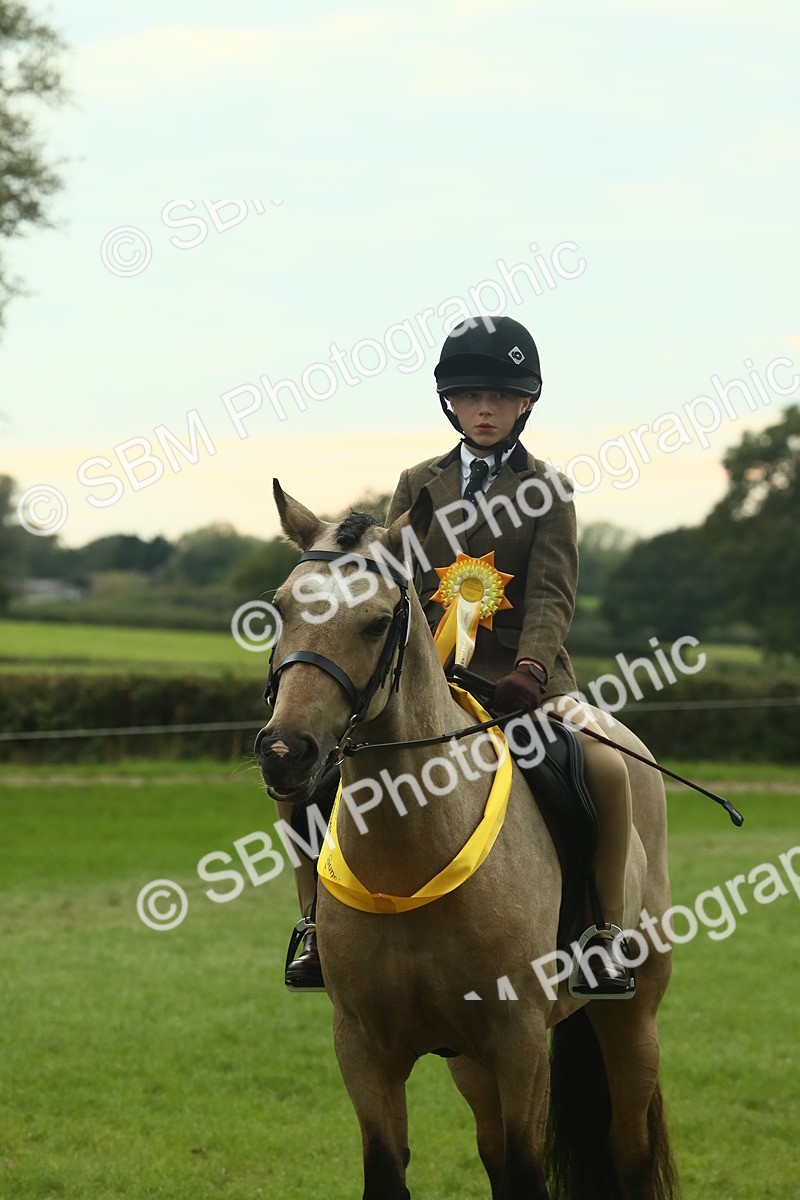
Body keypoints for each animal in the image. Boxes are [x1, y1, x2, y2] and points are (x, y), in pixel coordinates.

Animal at [256, 481, 678, 1200]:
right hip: (469, 1062)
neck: (408, 851)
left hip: (633, 1023)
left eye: (376, 623)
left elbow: (527, 1172)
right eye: (282, 608)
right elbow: (389, 1172)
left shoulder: (517, 1044)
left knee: (627, 1150)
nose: (285, 753)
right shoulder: (364, 1049)